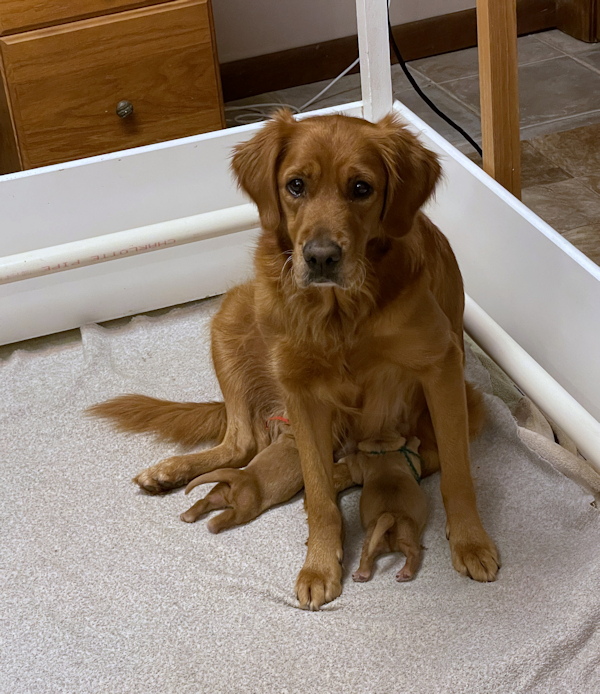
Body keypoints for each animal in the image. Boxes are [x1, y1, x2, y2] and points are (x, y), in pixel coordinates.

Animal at [89, 109, 500, 608]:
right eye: (296, 185)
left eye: (361, 188)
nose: (321, 257)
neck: (341, 314)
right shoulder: (300, 390)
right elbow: (319, 494)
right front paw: (320, 565)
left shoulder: (441, 368)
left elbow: (458, 475)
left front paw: (471, 542)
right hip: (232, 314)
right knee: (242, 441)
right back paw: (171, 470)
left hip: (467, 402)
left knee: (404, 459)